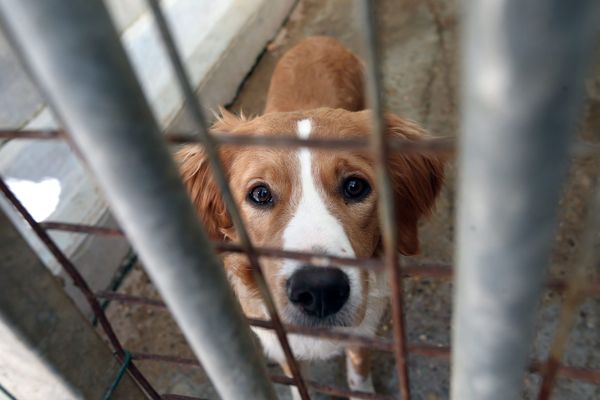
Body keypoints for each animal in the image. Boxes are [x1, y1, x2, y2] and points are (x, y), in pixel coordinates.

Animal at [176, 36, 442, 396]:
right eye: (260, 194)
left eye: (355, 186)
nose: (320, 291)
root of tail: (316, 39)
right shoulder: (279, 343)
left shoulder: (362, 331)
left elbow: (358, 374)